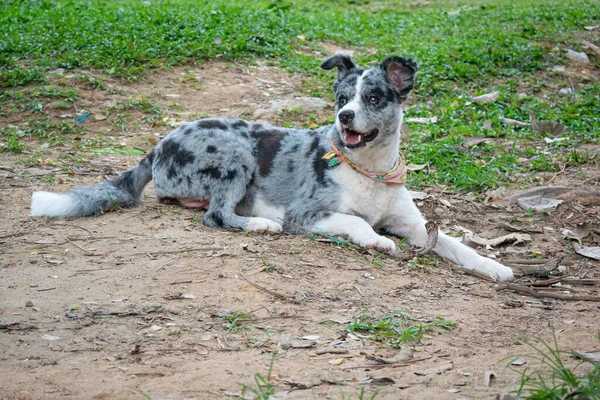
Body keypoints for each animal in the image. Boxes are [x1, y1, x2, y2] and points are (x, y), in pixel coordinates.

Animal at [30, 54, 512, 282]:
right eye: (341, 98)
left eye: (374, 97)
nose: (344, 118)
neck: (367, 170)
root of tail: (158, 145)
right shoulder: (307, 214)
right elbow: (358, 224)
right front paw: (377, 241)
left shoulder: (414, 225)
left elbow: (455, 245)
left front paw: (495, 267)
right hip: (235, 155)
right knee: (215, 216)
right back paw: (260, 225)